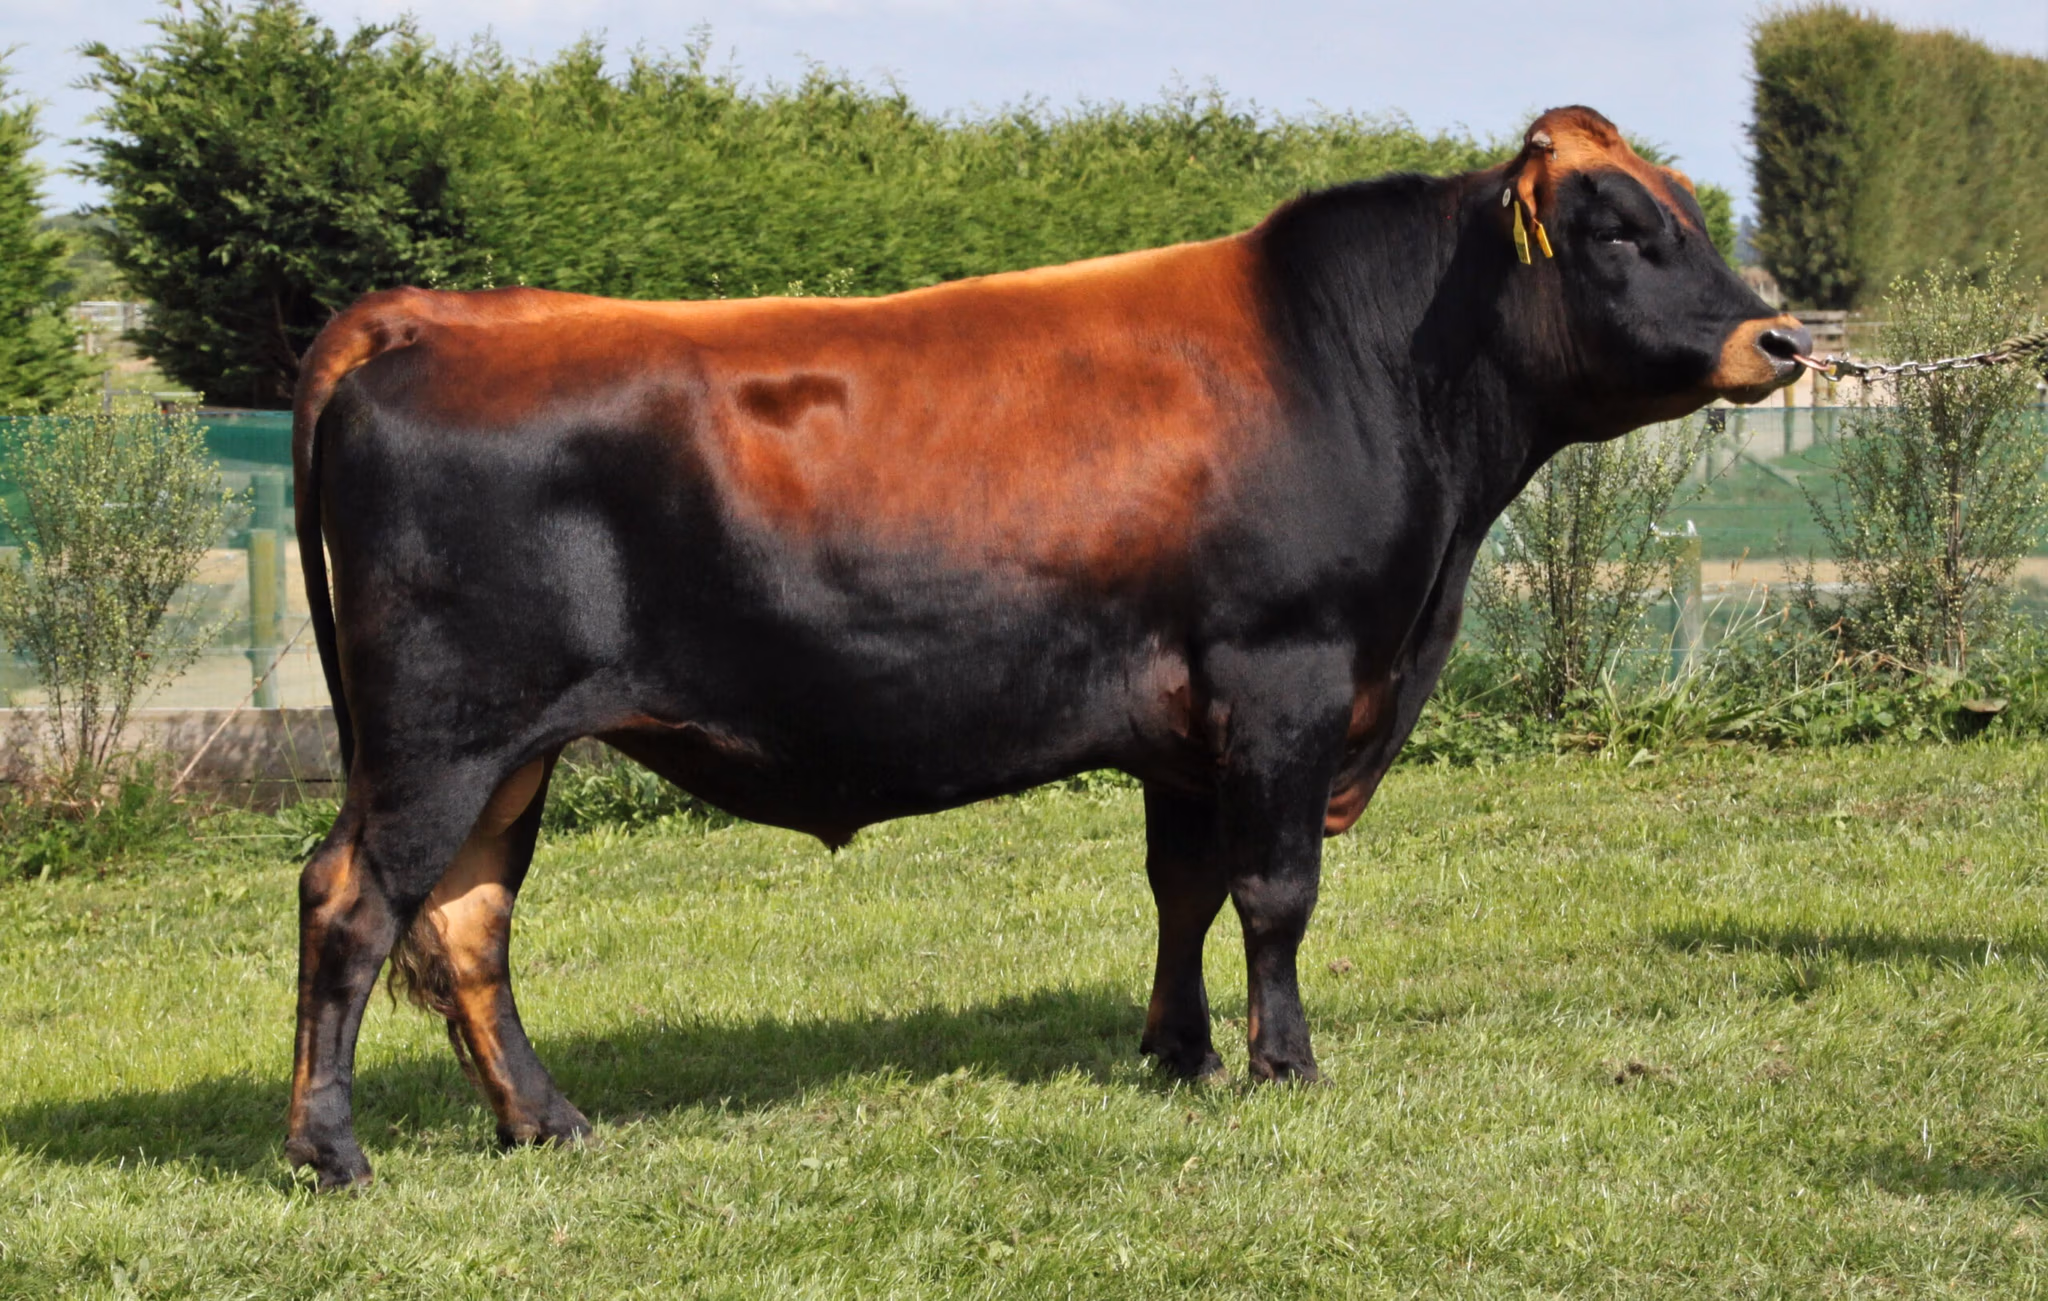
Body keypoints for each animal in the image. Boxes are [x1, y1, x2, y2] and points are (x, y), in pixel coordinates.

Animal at [284, 106, 1808, 1189]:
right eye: (1616, 229)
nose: (1782, 339)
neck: (1365, 369)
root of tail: (432, 313)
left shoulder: (1188, 719)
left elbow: (1183, 887)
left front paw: (1180, 1052)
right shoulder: (1287, 673)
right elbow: (1274, 891)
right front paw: (1284, 1064)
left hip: (504, 754)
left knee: (465, 923)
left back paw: (548, 1124)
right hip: (443, 732)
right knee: (351, 902)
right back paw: (334, 1154)